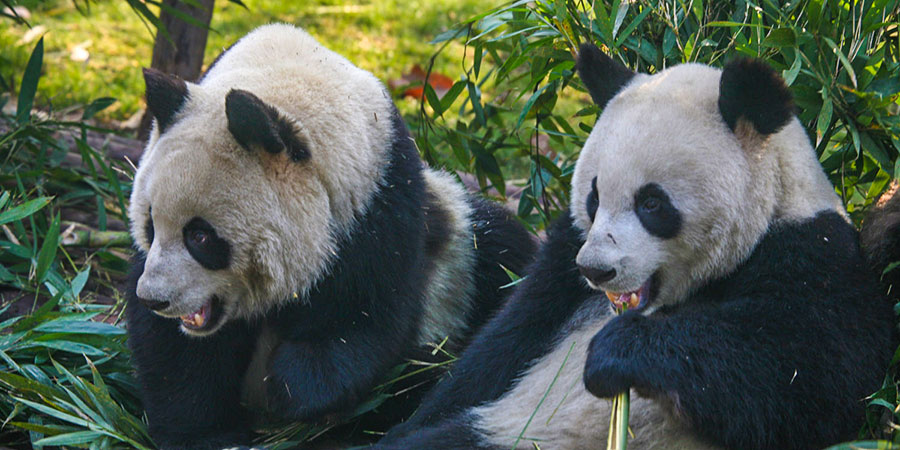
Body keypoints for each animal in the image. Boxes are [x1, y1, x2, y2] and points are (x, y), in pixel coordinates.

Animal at [124, 24, 536, 450]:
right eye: (150, 224)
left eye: (201, 238)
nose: (155, 298)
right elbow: (177, 355)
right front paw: (208, 433)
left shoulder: (379, 209)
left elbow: (365, 318)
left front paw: (290, 387)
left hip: (459, 254)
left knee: (498, 253)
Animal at [376, 43, 896, 450]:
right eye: (594, 195)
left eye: (652, 203)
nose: (597, 270)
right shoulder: (561, 265)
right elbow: (501, 344)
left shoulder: (809, 253)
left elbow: (809, 373)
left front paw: (615, 354)